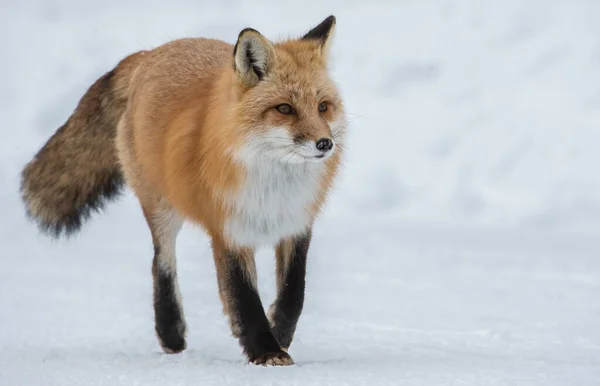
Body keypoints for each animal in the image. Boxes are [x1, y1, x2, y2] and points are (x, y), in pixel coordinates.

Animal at [19, 15, 346, 364]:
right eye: (284, 109)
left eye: (323, 107)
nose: (325, 144)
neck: (273, 187)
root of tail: (150, 53)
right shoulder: (228, 231)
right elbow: (243, 299)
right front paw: (265, 349)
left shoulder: (297, 224)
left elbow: (294, 293)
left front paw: (279, 333)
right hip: (161, 208)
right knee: (160, 263)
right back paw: (170, 332)